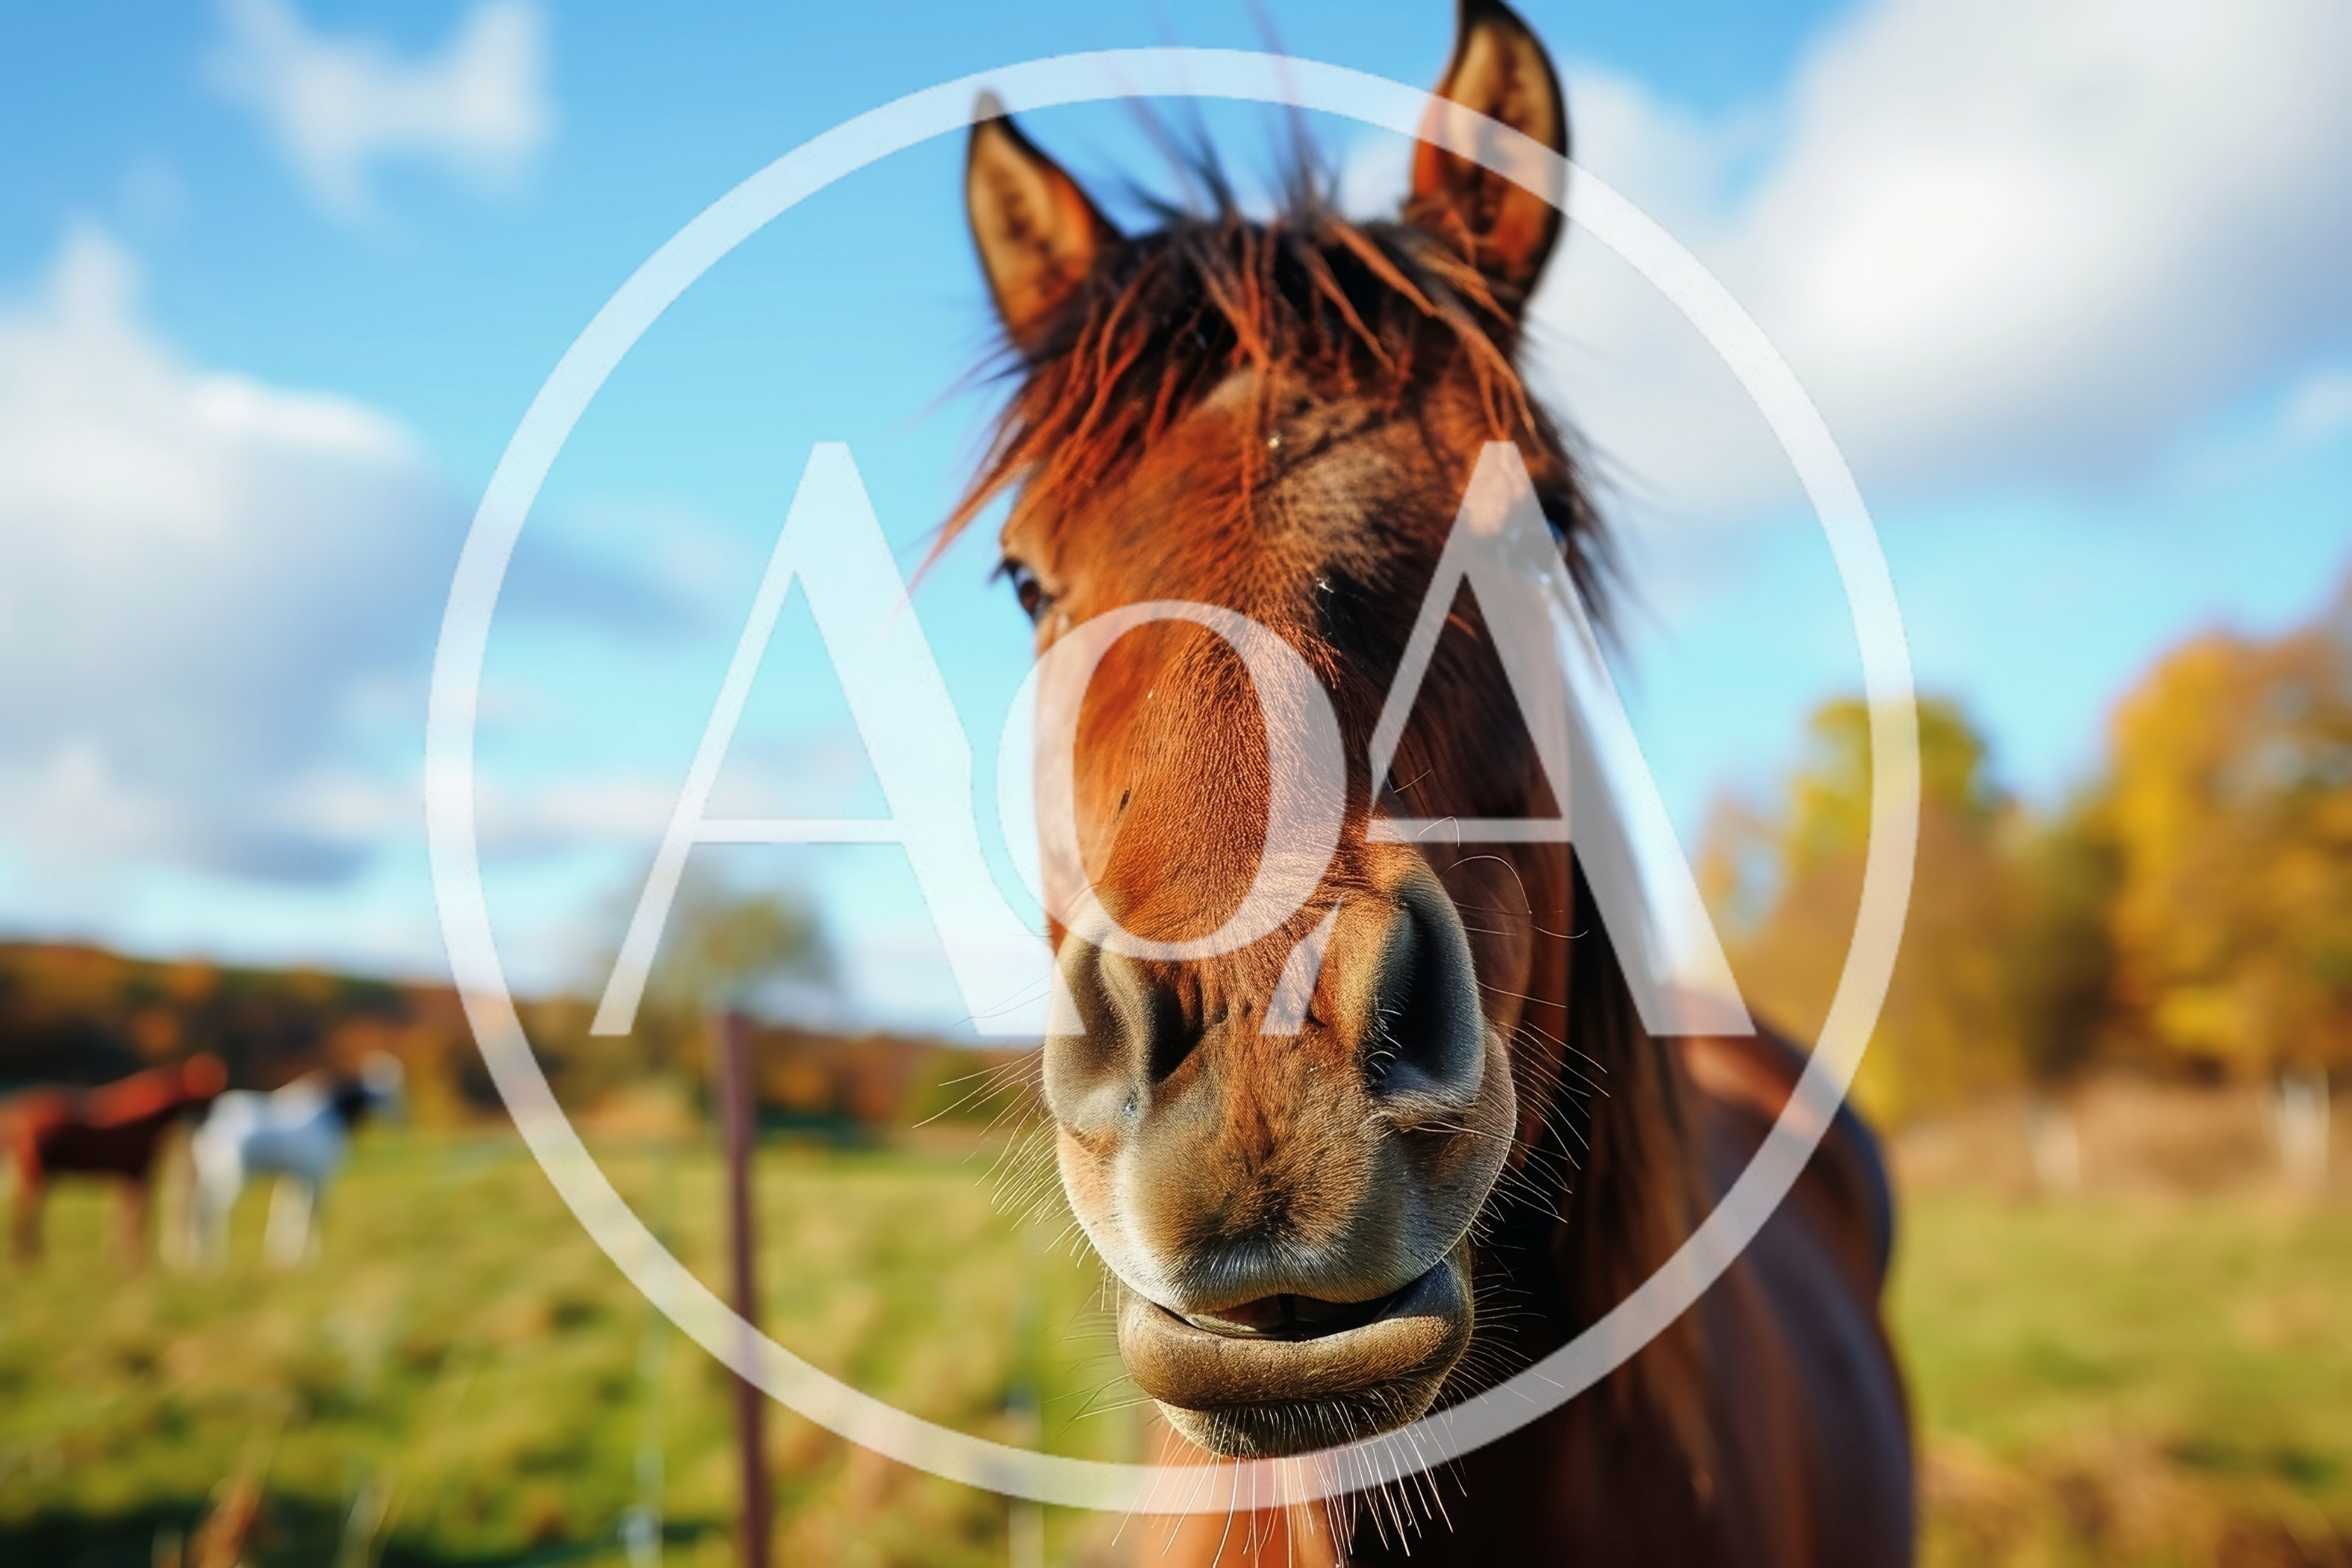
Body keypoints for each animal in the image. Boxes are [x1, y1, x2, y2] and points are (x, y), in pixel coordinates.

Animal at [7, 1054, 226, 1262]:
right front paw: (134, 1258)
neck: (146, 1116)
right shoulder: (137, 1174)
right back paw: (28, 1256)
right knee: (26, 1209)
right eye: (204, 1090)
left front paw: (119, 1256)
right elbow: (135, 1217)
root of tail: (22, 1111)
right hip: (38, 1172)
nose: (206, 1123)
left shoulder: (124, 1175)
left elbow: (122, 1216)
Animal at [188, 1053, 403, 1266]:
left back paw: (201, 1256)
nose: (400, 1120)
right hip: (236, 1177)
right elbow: (311, 1213)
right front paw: (309, 1255)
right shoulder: (317, 1175)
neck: (332, 1111)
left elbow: (287, 1211)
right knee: (218, 1211)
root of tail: (212, 1123)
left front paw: (282, 1255)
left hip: (212, 1175)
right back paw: (218, 1258)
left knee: (200, 1208)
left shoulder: (295, 1178)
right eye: (391, 1091)